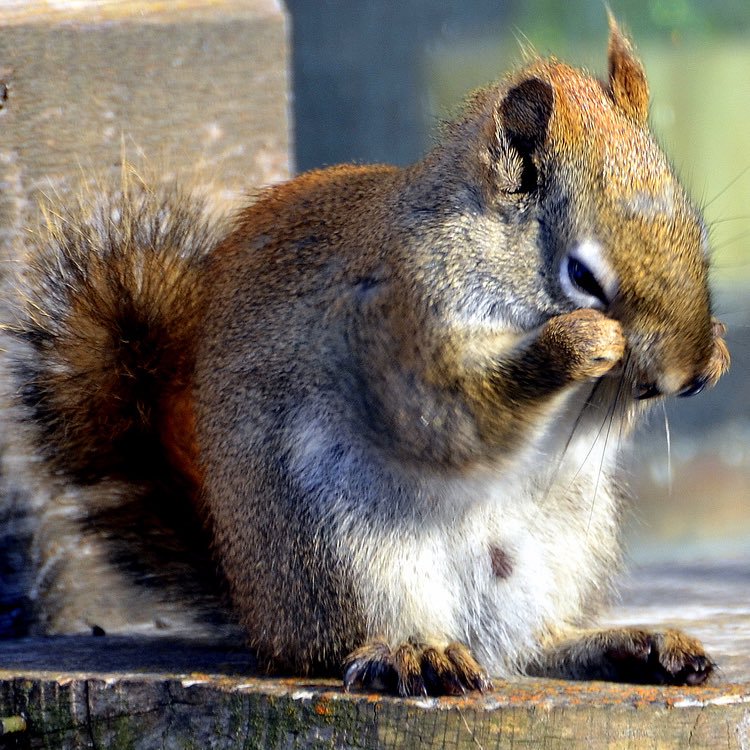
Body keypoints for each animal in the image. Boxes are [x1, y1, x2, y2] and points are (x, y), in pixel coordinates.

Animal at [0, 19, 728, 700]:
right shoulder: (395, 325)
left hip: (565, 543)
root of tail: (264, 619)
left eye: (696, 231)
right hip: (346, 551)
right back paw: (414, 655)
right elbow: (455, 419)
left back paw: (629, 645)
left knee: (530, 646)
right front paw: (582, 342)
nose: (691, 374)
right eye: (581, 274)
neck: (479, 248)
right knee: (350, 646)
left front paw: (717, 345)